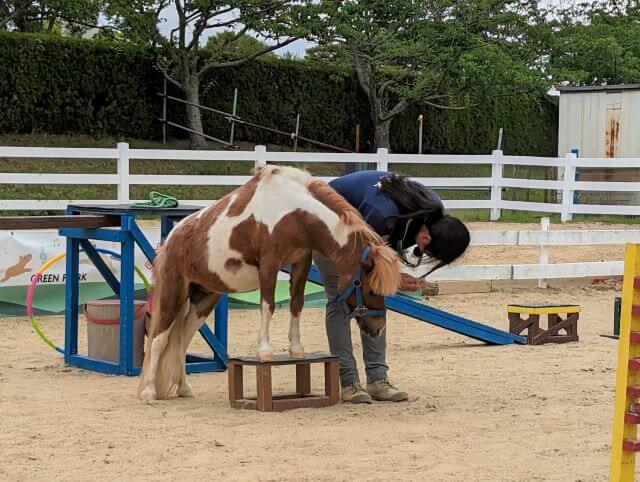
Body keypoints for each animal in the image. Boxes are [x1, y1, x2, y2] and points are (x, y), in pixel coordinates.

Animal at [139, 165, 400, 400]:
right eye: (369, 288)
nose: (379, 328)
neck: (293, 213)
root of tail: (170, 240)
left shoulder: (302, 262)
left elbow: (296, 304)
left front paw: (296, 349)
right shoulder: (269, 265)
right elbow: (268, 306)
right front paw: (264, 351)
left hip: (204, 299)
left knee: (181, 339)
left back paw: (184, 388)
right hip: (173, 293)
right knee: (159, 339)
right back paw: (149, 391)